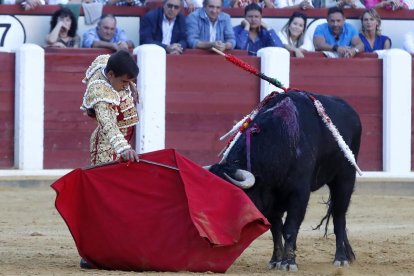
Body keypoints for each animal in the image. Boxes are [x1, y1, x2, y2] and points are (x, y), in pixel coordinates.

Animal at [209, 91, 360, 270]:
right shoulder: (271, 198)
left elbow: (290, 227)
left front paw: (289, 263)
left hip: (345, 178)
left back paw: (341, 258)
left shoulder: (299, 194)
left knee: (339, 216)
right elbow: (276, 229)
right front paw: (276, 261)